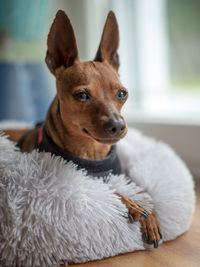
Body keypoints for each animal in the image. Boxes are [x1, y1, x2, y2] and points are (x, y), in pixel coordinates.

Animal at [3, 9, 162, 249]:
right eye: (82, 96)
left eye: (122, 94)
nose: (117, 125)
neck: (92, 153)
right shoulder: (81, 184)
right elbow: (110, 190)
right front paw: (133, 205)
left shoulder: (120, 175)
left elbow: (141, 190)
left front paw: (150, 213)